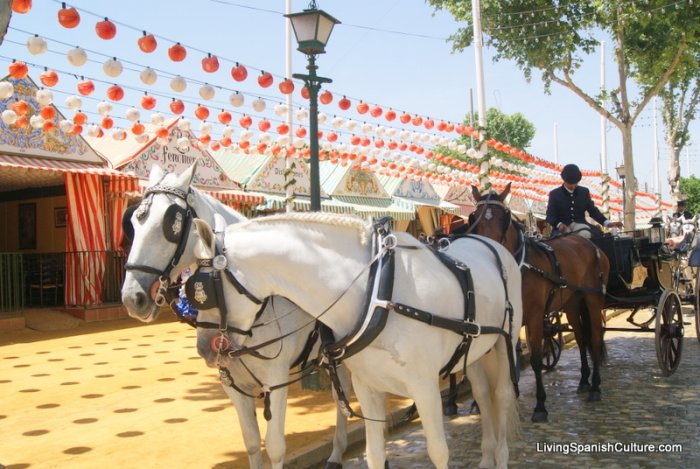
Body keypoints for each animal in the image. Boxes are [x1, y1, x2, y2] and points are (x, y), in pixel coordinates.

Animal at [121, 164, 350, 468]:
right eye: (133, 223)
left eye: (170, 224)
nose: (132, 298)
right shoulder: (232, 382)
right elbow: (251, 441)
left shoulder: (276, 380)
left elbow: (275, 446)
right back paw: (337, 452)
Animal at [191, 213, 520, 468]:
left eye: (202, 289)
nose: (205, 347)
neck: (379, 292)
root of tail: (491, 244)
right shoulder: (368, 386)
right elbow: (373, 455)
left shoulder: (424, 387)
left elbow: (438, 452)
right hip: (474, 351)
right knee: (482, 394)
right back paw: (486, 457)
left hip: (505, 344)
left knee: (502, 396)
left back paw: (501, 456)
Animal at [468, 183, 608, 420]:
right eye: (474, 217)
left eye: (504, 217)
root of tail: (587, 242)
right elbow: (506, 358)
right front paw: (497, 399)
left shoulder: (534, 316)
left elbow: (534, 358)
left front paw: (540, 405)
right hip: (572, 302)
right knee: (581, 338)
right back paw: (583, 380)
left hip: (593, 298)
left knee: (595, 338)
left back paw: (596, 386)